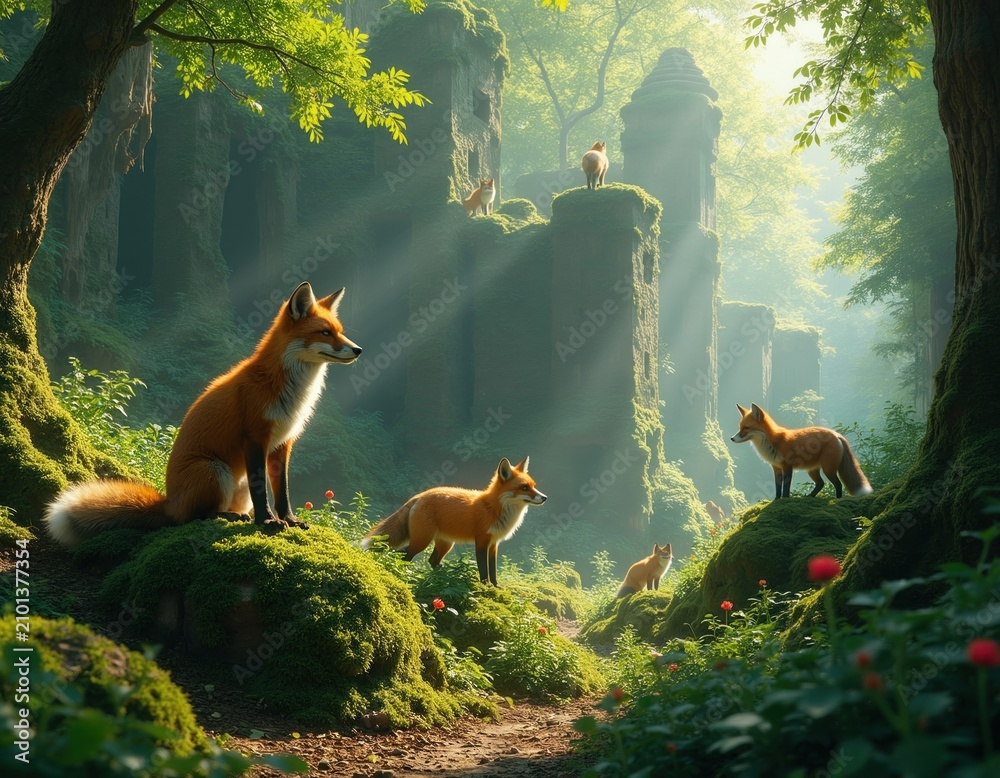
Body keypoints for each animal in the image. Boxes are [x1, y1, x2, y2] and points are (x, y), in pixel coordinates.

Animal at [45, 282, 362, 546]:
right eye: (325, 333)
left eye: (340, 330)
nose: (358, 349)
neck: (287, 389)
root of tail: (169, 503)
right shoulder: (255, 437)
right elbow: (263, 491)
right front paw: (267, 522)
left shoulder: (283, 443)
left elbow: (281, 491)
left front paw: (289, 520)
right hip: (215, 471)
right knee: (194, 518)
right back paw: (228, 517)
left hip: (236, 484)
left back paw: (237, 515)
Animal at [361, 457, 546, 586]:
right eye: (524, 488)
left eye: (534, 486)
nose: (544, 497)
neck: (494, 508)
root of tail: (419, 496)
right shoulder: (482, 540)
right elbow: (483, 568)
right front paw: (485, 585)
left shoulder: (494, 543)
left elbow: (493, 569)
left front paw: (495, 586)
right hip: (421, 541)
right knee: (401, 554)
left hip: (446, 544)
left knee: (432, 560)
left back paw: (444, 575)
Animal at [730, 403, 873, 500]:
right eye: (740, 427)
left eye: (746, 428)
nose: (732, 438)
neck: (773, 442)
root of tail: (836, 434)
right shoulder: (776, 467)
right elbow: (777, 488)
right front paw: (776, 500)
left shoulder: (787, 466)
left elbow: (786, 488)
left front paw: (785, 500)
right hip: (812, 471)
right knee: (821, 484)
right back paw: (810, 497)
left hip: (828, 469)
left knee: (838, 485)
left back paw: (837, 499)